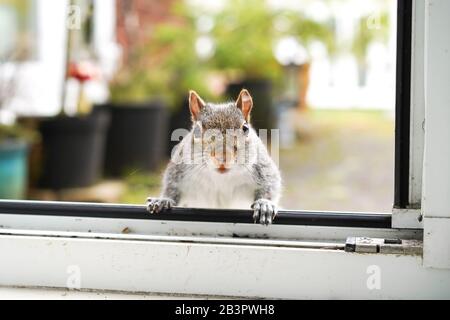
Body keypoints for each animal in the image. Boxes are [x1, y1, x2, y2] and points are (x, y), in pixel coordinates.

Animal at [147, 89, 282, 225]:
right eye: (197, 130)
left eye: (245, 128)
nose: (222, 156)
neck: (221, 178)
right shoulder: (178, 168)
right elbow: (171, 187)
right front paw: (163, 200)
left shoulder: (262, 167)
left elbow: (270, 184)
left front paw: (264, 204)